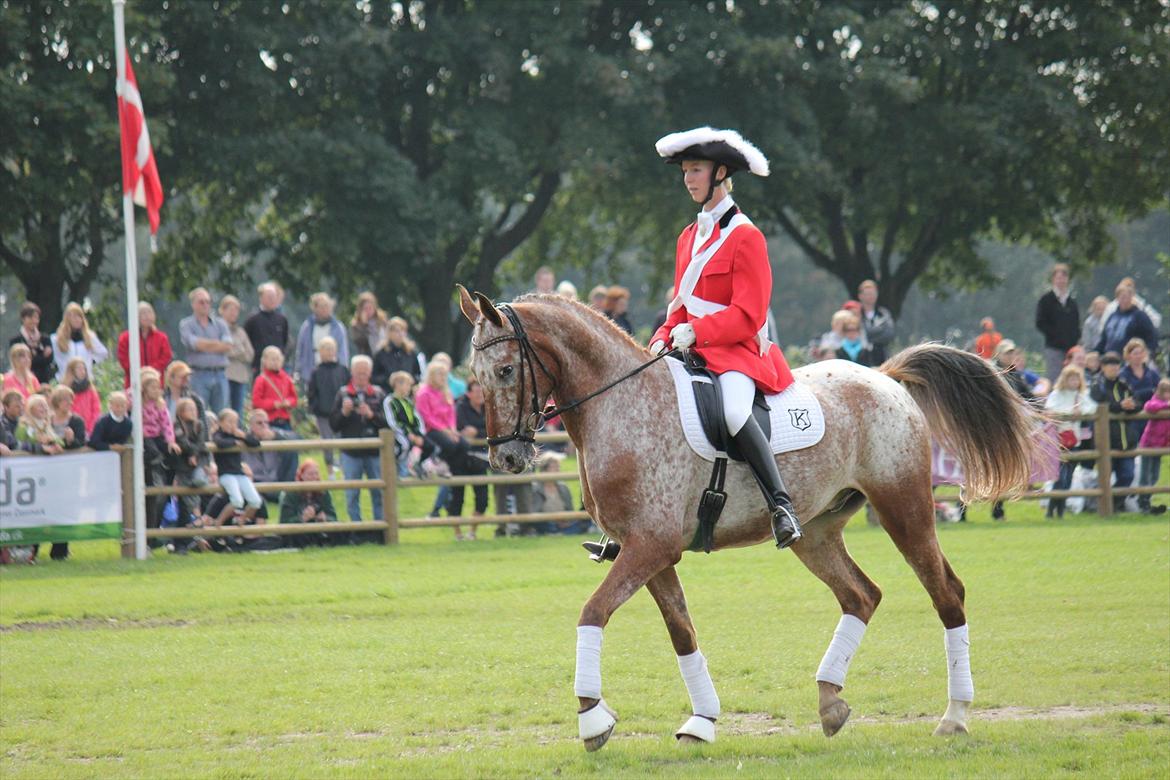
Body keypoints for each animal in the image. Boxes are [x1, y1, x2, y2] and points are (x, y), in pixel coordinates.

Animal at [458, 285, 1043, 748]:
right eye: (473, 376)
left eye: (506, 370)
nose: (506, 459)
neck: (622, 405)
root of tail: (884, 376)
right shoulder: (651, 552)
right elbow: (682, 632)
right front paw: (701, 721)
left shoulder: (650, 546)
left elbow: (593, 613)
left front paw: (592, 718)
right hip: (817, 533)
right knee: (861, 595)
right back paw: (831, 702)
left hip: (904, 508)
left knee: (946, 593)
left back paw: (955, 716)